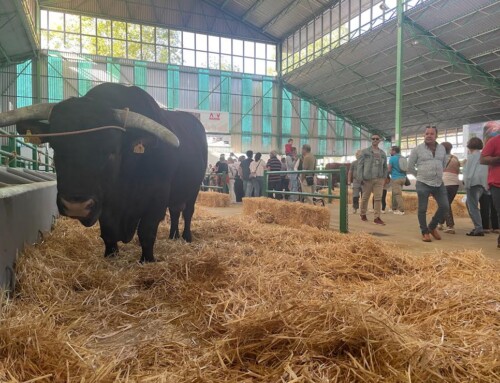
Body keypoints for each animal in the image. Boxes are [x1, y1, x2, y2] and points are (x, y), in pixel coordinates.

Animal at [0, 84, 207, 264]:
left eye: (111, 151)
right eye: (55, 147)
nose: (76, 206)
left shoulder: (157, 198)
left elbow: (147, 233)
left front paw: (147, 261)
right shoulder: (105, 204)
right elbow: (108, 234)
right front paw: (111, 256)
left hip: (194, 188)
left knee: (187, 212)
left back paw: (186, 237)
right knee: (176, 211)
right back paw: (173, 236)